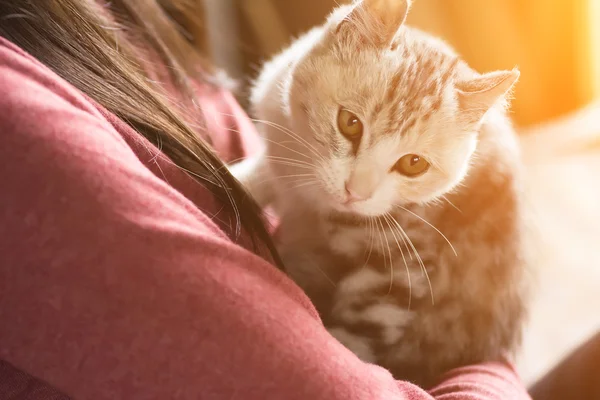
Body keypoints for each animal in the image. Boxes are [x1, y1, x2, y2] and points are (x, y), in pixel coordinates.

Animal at [230, 0, 528, 388]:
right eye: (350, 123)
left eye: (414, 163)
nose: (355, 192)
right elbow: (265, 172)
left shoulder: (402, 269)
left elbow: (353, 343)